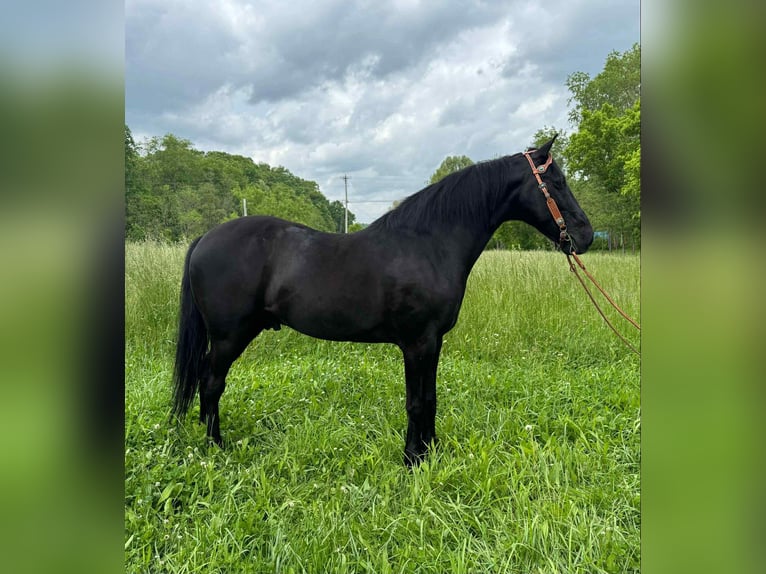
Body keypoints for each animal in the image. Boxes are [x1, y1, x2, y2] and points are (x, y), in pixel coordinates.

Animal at [171, 136, 593, 466]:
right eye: (556, 182)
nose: (586, 236)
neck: (428, 244)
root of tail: (206, 238)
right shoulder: (417, 343)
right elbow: (416, 402)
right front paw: (412, 460)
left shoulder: (433, 343)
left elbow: (430, 397)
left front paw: (430, 453)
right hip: (229, 336)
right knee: (211, 382)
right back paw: (215, 446)